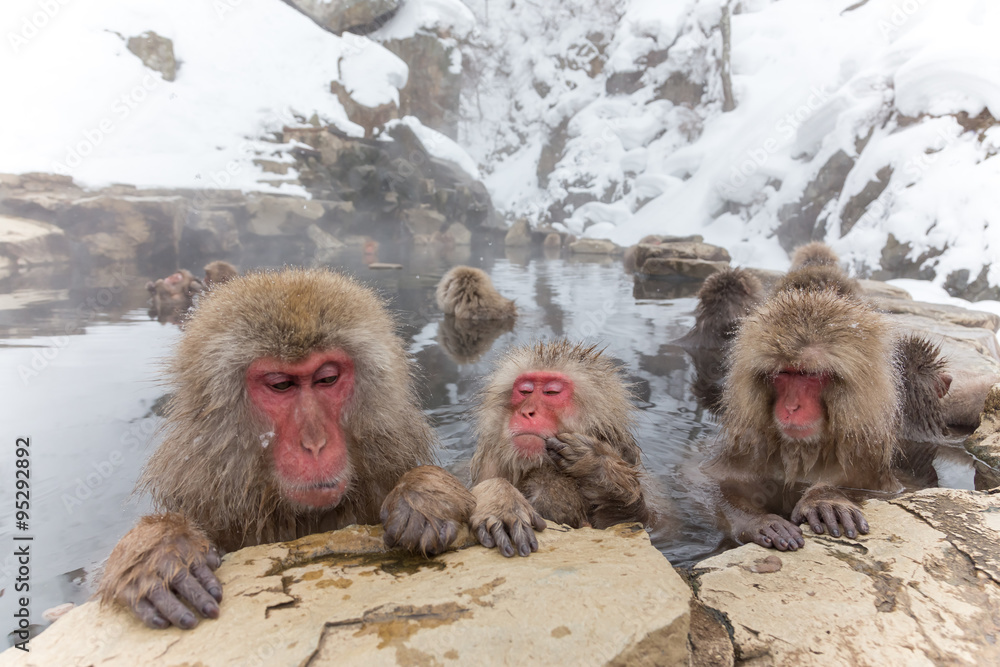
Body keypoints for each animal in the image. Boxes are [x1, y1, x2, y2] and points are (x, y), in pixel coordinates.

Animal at [468, 341, 654, 557]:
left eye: (552, 392)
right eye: (525, 391)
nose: (527, 412)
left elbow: (633, 523)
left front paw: (597, 465)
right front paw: (500, 502)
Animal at [704, 288, 903, 551]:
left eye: (809, 374)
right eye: (783, 373)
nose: (791, 406)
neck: (804, 449)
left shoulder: (867, 457)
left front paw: (825, 499)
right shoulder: (749, 449)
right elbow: (719, 482)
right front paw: (757, 521)